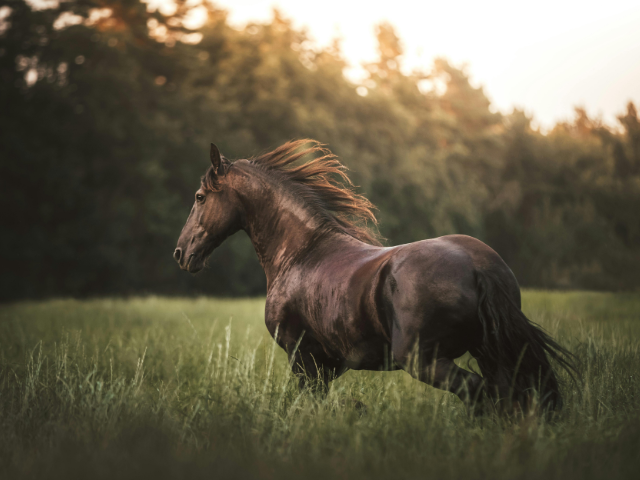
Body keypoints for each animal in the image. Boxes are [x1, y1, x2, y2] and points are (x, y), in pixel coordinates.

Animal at [174, 139, 577, 414]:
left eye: (199, 196)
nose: (181, 254)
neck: (301, 252)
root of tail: (477, 266)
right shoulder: (327, 365)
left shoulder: (302, 356)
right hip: (490, 352)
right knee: (512, 397)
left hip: (424, 360)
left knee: (482, 394)